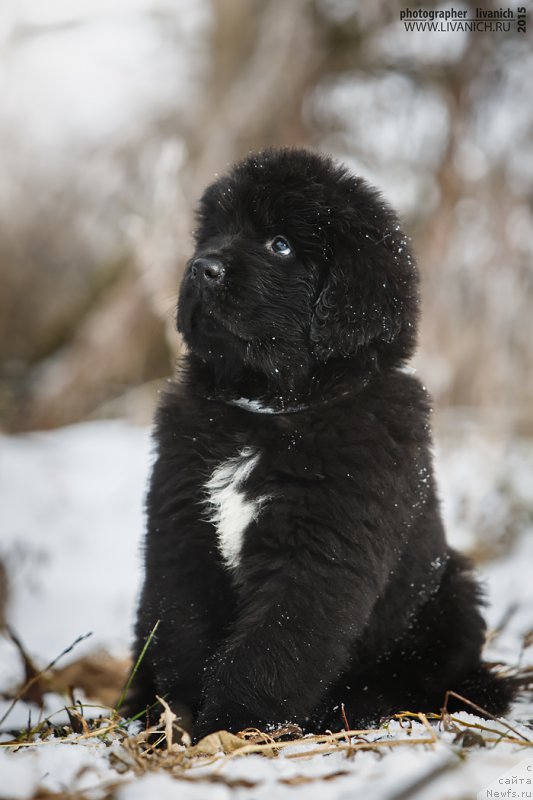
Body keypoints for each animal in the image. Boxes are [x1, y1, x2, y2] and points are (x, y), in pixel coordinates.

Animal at [127, 147, 512, 736]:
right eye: (215, 233)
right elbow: (185, 629)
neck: (267, 413)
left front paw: (233, 725)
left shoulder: (317, 554)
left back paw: (358, 705)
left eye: (280, 245)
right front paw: (179, 724)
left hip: (449, 591)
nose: (201, 267)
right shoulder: (182, 527)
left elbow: (271, 649)